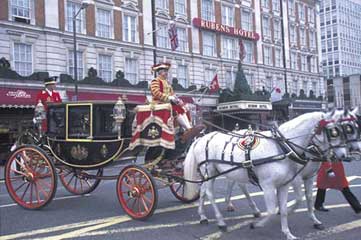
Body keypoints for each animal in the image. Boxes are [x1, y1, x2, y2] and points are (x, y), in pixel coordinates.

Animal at [184, 111, 348, 239]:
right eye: (333, 132)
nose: (343, 155)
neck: (282, 148)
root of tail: (201, 138)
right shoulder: (269, 185)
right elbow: (271, 211)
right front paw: (256, 225)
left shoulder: (285, 184)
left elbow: (285, 209)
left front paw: (287, 232)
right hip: (209, 170)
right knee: (210, 193)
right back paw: (221, 221)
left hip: (214, 173)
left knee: (204, 191)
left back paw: (203, 216)